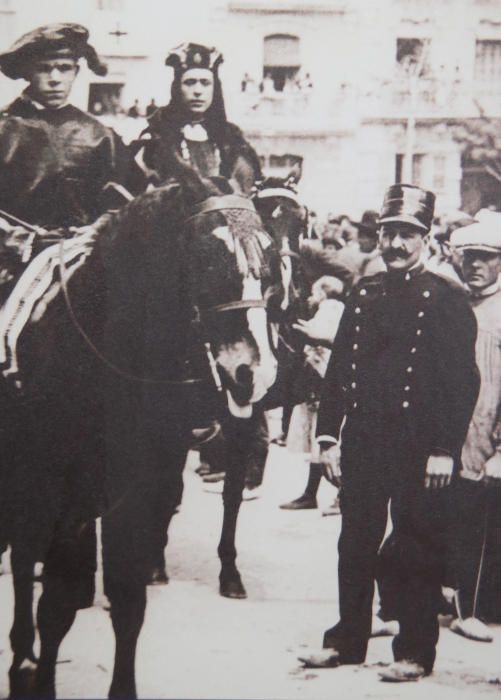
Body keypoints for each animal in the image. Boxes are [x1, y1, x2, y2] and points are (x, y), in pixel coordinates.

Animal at [0, 161, 284, 696]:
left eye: (269, 257)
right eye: (208, 258)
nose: (254, 373)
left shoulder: (135, 491)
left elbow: (128, 600)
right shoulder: (59, 491)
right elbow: (55, 605)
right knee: (26, 558)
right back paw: (22, 657)